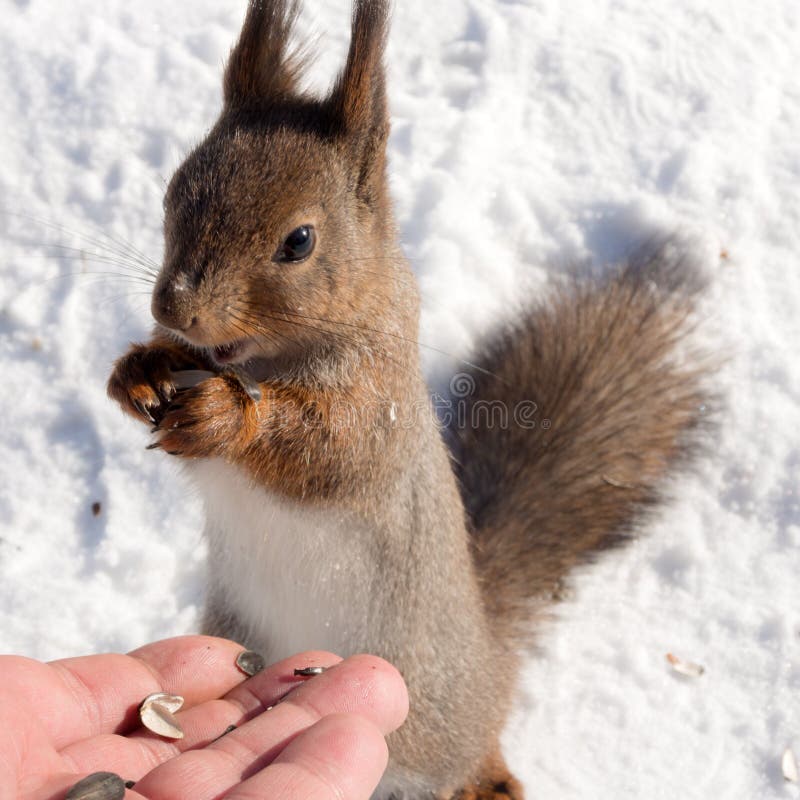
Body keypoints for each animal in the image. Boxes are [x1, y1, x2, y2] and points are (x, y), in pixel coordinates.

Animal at [107, 1, 710, 798]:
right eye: (173, 191)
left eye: (299, 241)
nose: (173, 308)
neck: (266, 359)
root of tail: (488, 652)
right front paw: (137, 371)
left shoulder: (378, 408)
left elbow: (326, 452)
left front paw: (227, 416)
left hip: (439, 721)